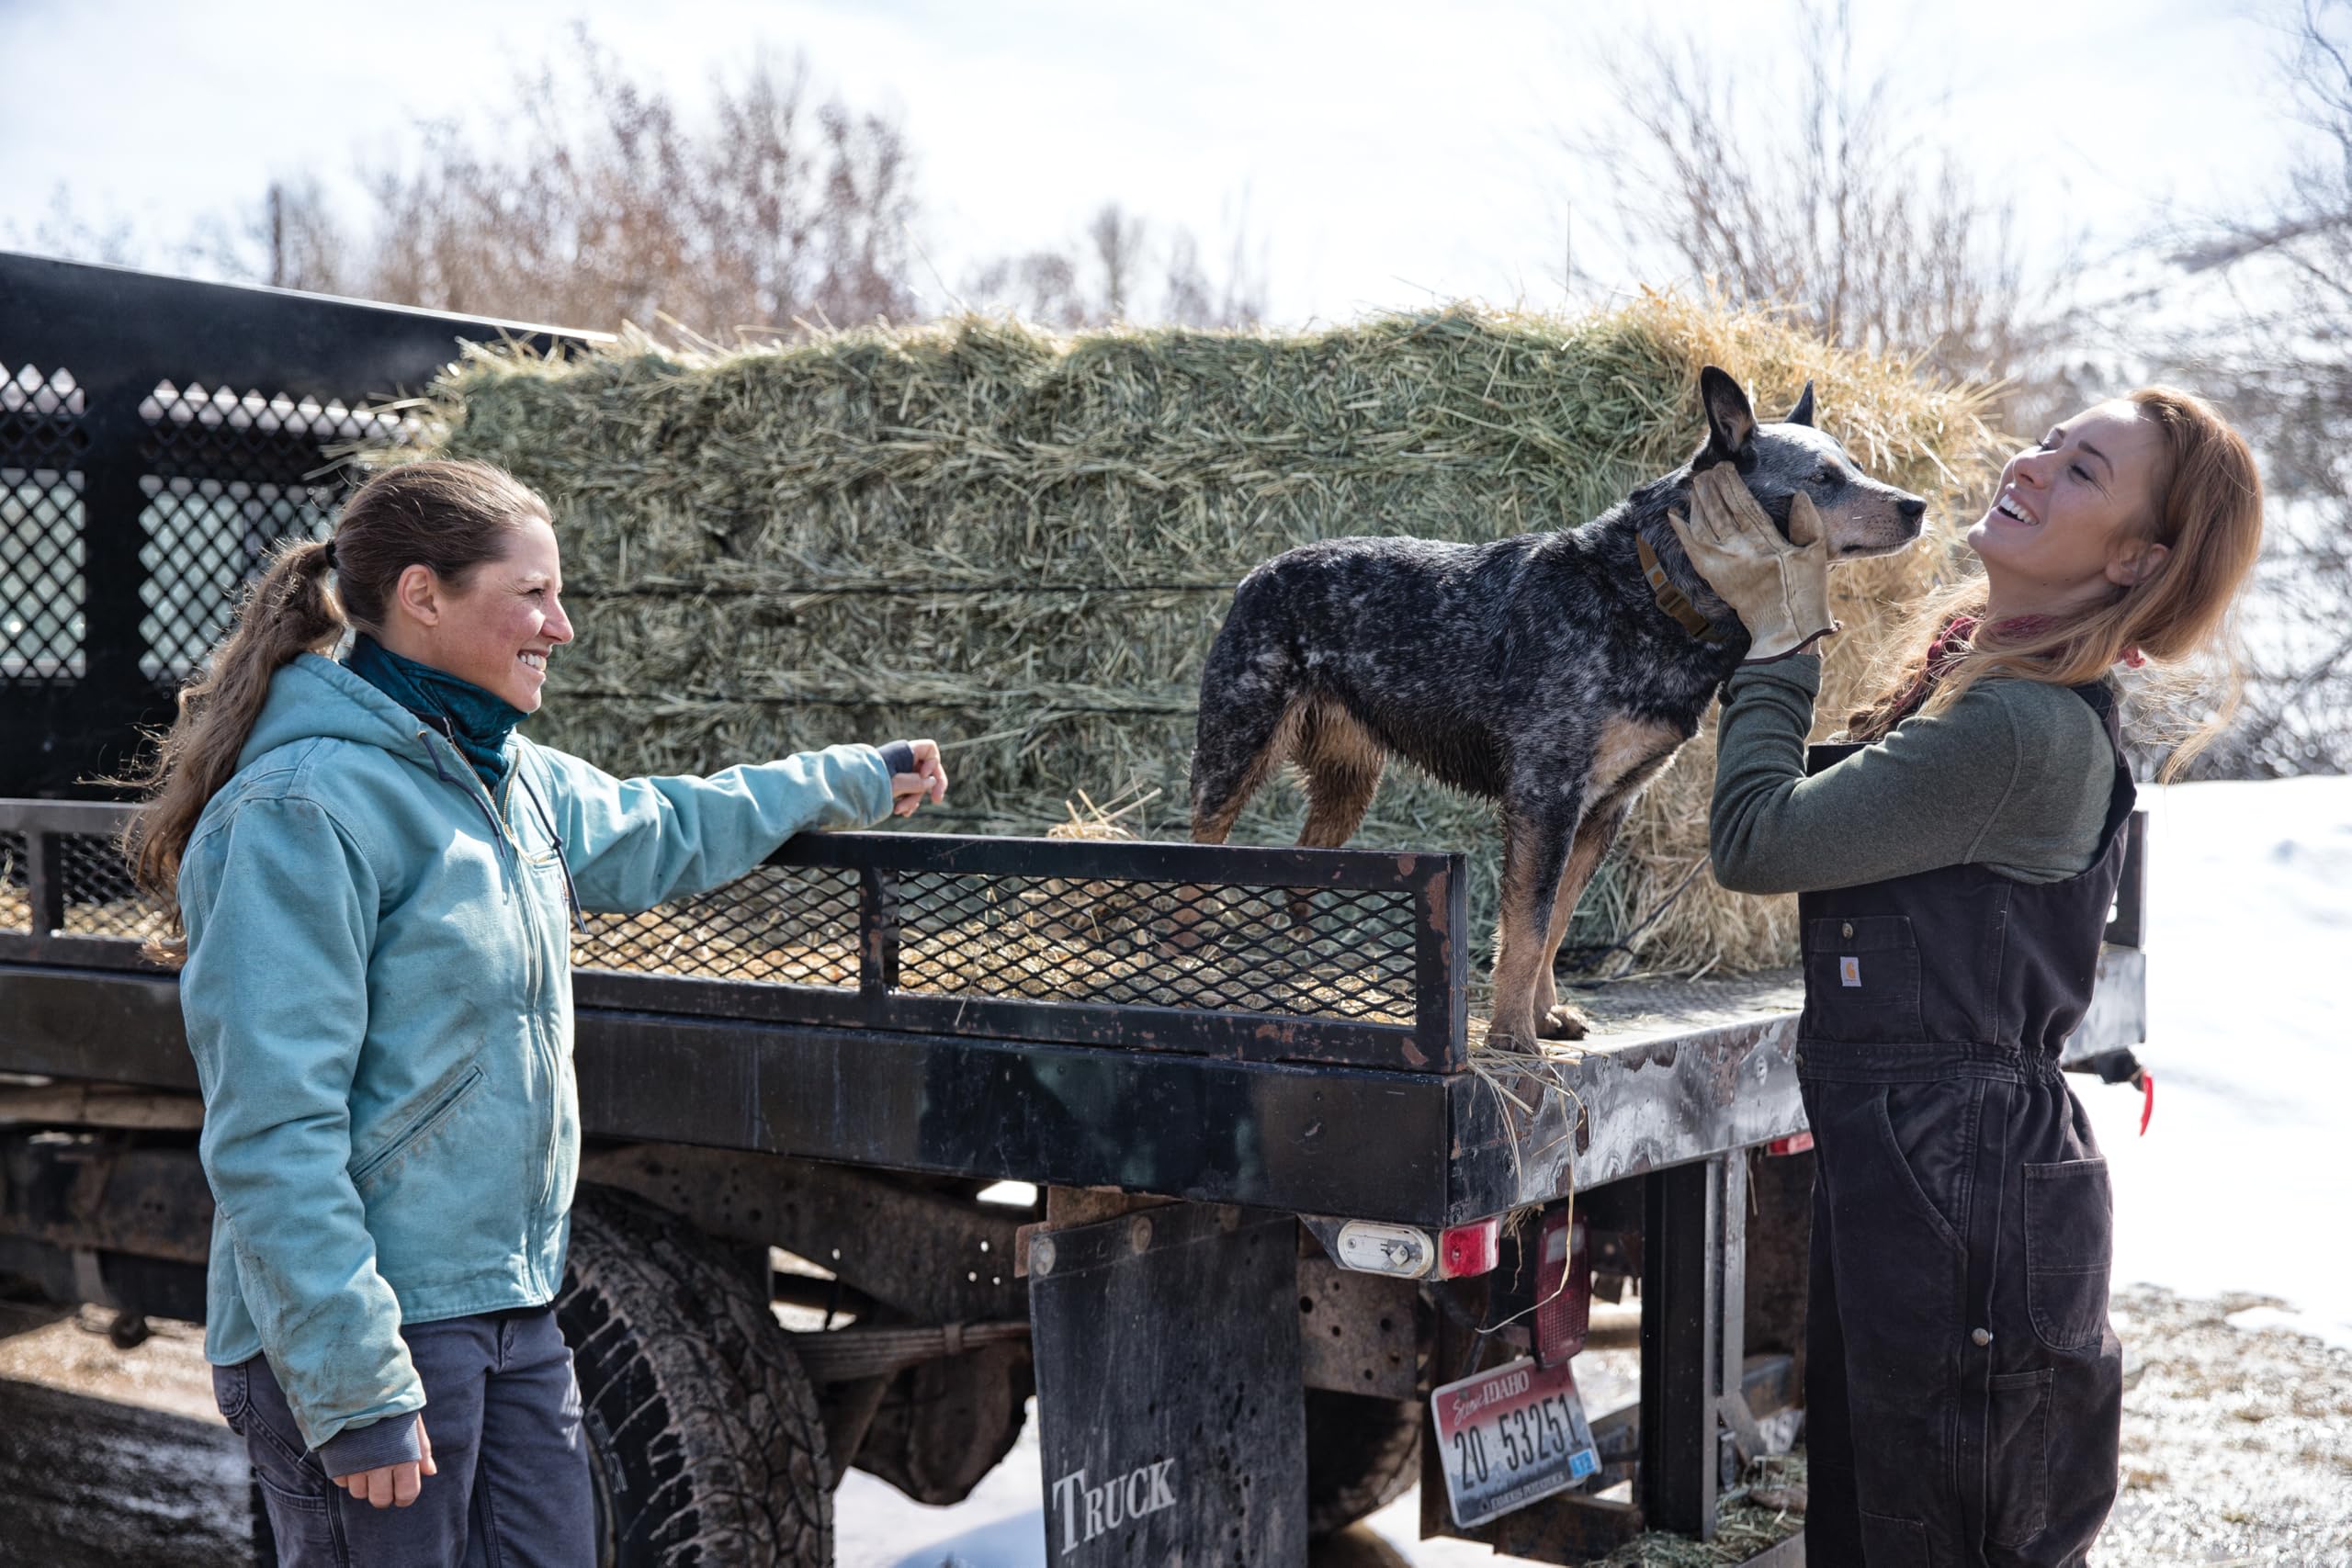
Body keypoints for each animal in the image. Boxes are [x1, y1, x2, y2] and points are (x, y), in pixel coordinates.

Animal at [1194, 368, 1928, 1048]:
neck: (1647, 593)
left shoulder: (1604, 809)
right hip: (1235, 751)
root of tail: (1257, 573)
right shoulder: (1546, 797)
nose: (1917, 505)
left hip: (1348, 782)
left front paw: (1543, 1015)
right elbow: (1530, 923)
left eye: (1856, 467)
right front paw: (1513, 1033)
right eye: (1824, 478)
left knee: (1298, 873)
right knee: (1198, 856)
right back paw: (1193, 965)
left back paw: (1294, 979)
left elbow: (1555, 926)